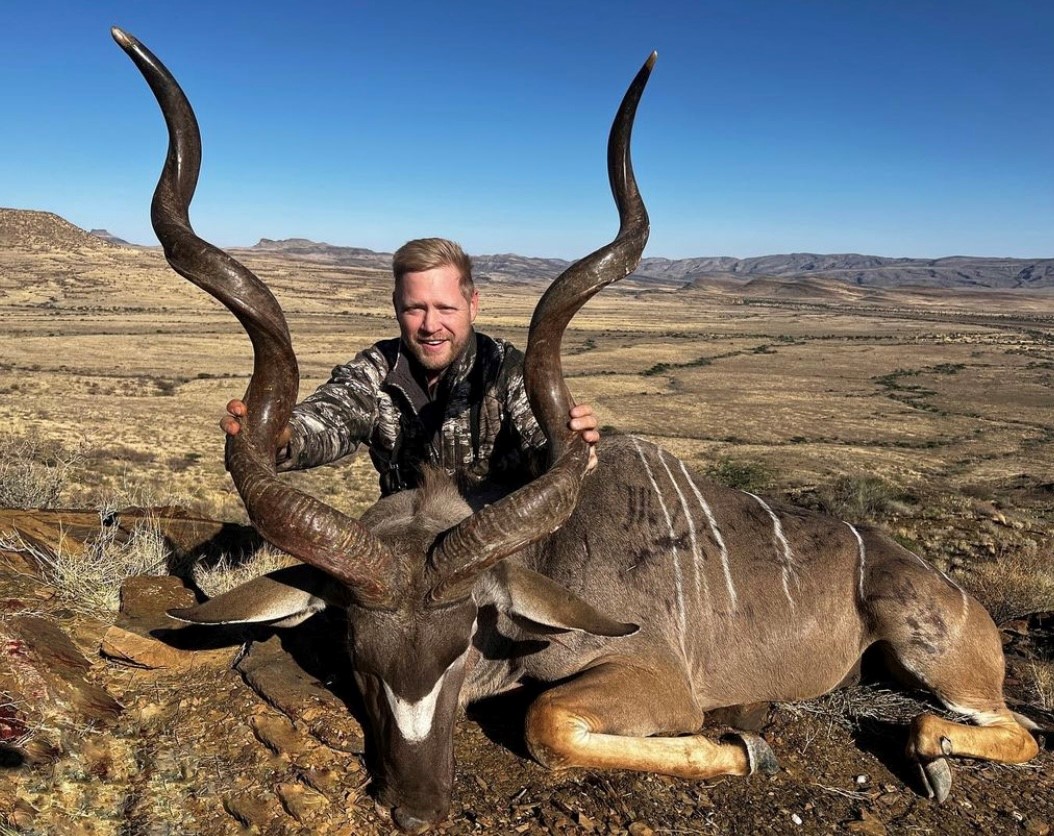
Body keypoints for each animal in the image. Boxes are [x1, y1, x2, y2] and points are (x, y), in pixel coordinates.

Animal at [113, 29, 1037, 830]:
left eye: (458, 648)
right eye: (358, 657)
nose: (417, 806)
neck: (552, 559)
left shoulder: (657, 678)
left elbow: (546, 722)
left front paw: (748, 744)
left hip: (934, 655)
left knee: (1008, 727)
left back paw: (929, 754)